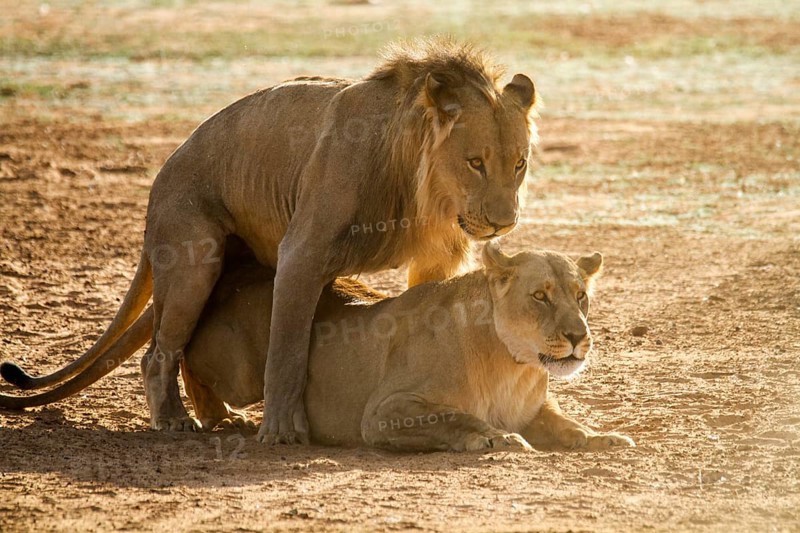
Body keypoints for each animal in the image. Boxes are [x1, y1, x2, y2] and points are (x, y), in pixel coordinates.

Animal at [0, 39, 537, 444]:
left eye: (519, 164)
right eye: (475, 162)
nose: (503, 223)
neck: (418, 184)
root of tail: (162, 174)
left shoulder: (436, 258)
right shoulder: (302, 250)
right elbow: (287, 347)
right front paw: (282, 430)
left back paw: (217, 416)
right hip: (194, 257)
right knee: (159, 351)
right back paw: (174, 419)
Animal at [0, 243, 634, 452]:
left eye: (581, 295)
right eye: (541, 296)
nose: (577, 336)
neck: (513, 363)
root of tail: (236, 273)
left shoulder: (537, 405)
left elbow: (568, 427)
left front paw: (604, 438)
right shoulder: (384, 414)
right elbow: (455, 418)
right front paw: (496, 438)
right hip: (242, 370)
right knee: (174, 355)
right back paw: (204, 417)